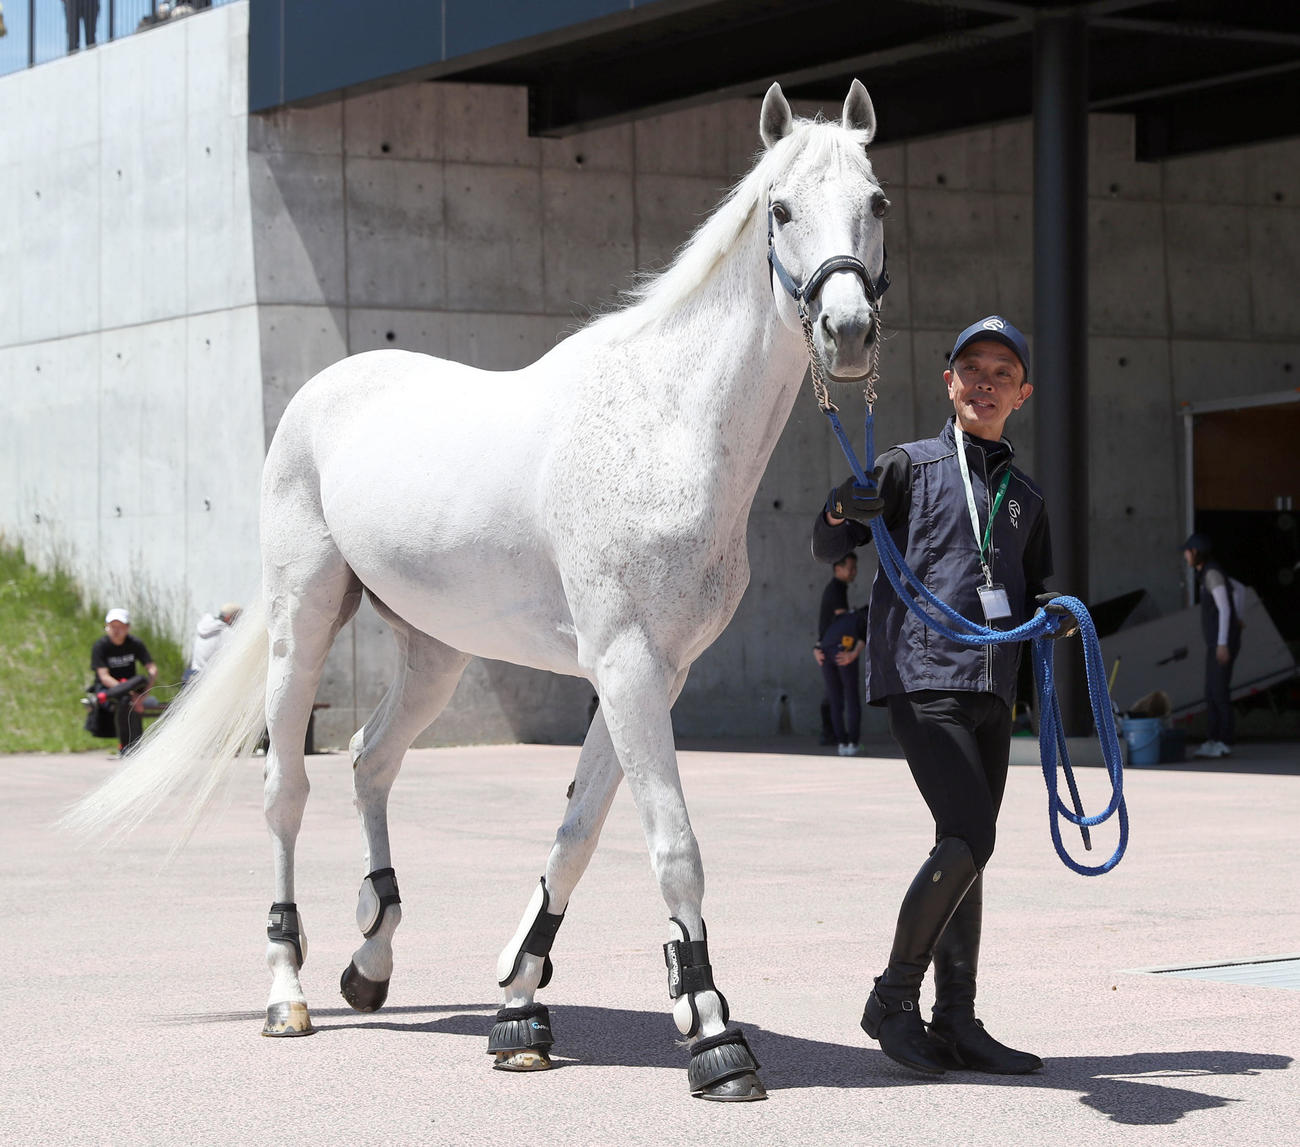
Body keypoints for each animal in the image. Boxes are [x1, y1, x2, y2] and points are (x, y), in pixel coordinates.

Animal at [65, 80, 891, 1102]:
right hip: (304, 622)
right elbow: (673, 847)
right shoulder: (626, 666)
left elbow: (576, 833)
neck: (665, 423)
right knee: (286, 789)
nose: (847, 331)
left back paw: (370, 959)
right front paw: (712, 1033)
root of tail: (321, 391)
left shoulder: (654, 675)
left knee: (371, 761)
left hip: (435, 653)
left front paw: (520, 1010)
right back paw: (288, 991)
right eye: (780, 210)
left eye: (876, 202)